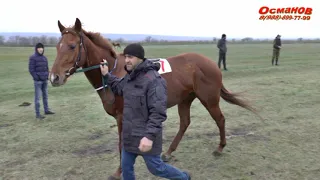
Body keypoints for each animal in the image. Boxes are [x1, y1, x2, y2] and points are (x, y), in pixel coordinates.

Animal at [49, 17, 260, 179]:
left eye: (72, 46)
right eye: (58, 46)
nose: (54, 77)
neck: (118, 72)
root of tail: (210, 63)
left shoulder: (123, 117)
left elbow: (121, 144)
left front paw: (119, 171)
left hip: (209, 99)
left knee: (220, 119)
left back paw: (220, 148)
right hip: (185, 99)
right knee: (185, 123)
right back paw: (168, 152)